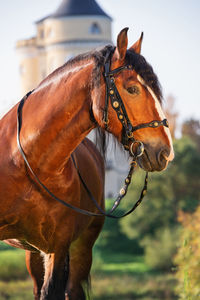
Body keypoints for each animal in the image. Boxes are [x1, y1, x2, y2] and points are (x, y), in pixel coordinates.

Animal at [0, 27, 173, 298]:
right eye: (132, 88)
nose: (165, 152)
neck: (27, 161)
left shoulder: (58, 247)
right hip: (33, 252)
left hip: (80, 248)